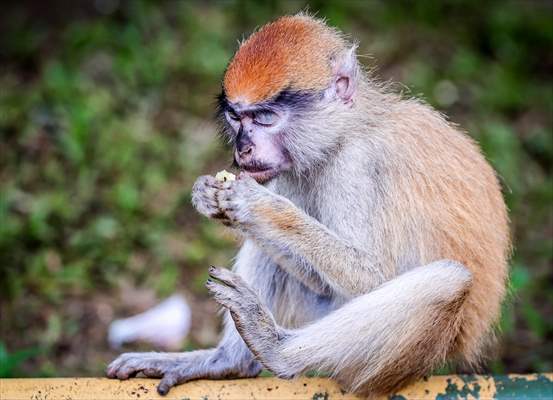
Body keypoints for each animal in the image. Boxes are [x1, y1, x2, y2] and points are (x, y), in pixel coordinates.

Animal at [106, 14, 508, 398]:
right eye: (236, 117)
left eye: (265, 118)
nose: (243, 149)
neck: (345, 129)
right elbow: (317, 278)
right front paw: (210, 197)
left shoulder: (356, 164)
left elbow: (373, 276)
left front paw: (258, 206)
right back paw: (229, 361)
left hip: (406, 358)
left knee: (449, 281)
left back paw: (275, 348)